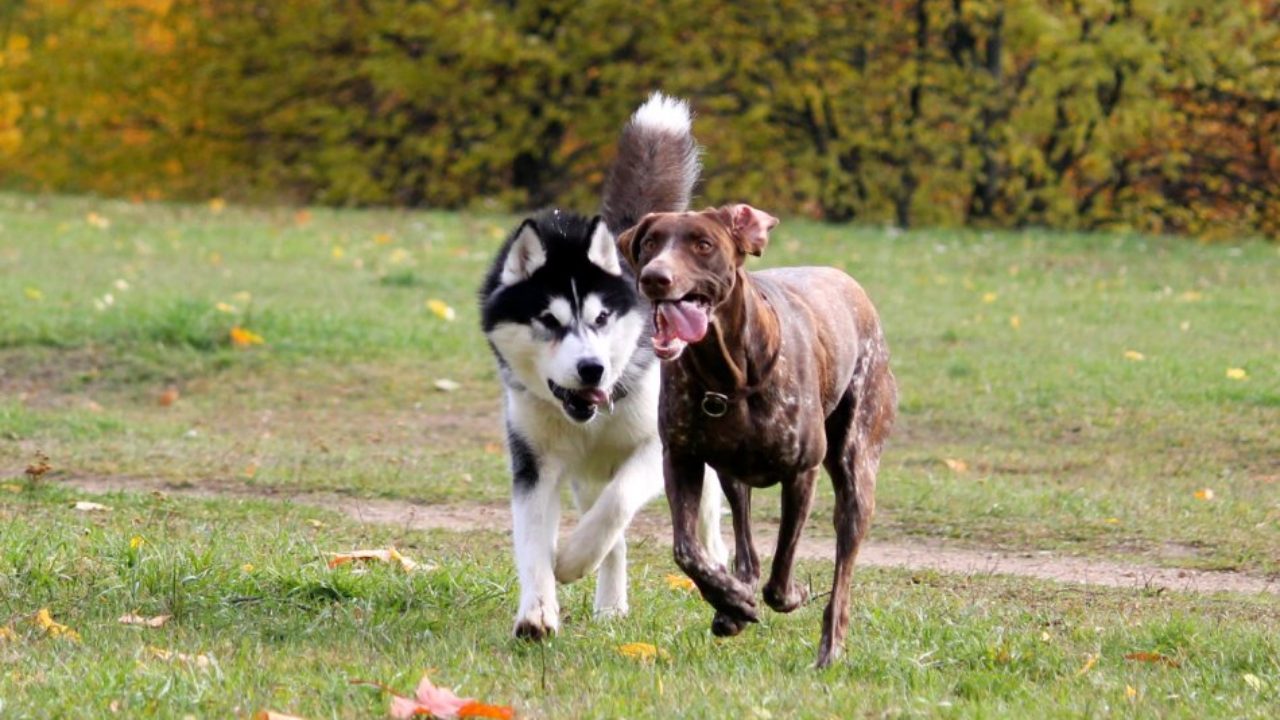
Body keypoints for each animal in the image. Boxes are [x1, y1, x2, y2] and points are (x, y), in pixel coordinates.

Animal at [614, 204, 896, 666]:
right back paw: (734, 603)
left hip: (856, 472)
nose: (655, 276)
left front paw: (791, 594)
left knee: (842, 569)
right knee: (746, 549)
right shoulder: (681, 458)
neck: (728, 376)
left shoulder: (802, 472)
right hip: (732, 476)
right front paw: (730, 600)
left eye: (703, 245)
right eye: (651, 243)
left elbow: (781, 576)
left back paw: (830, 646)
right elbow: (688, 551)